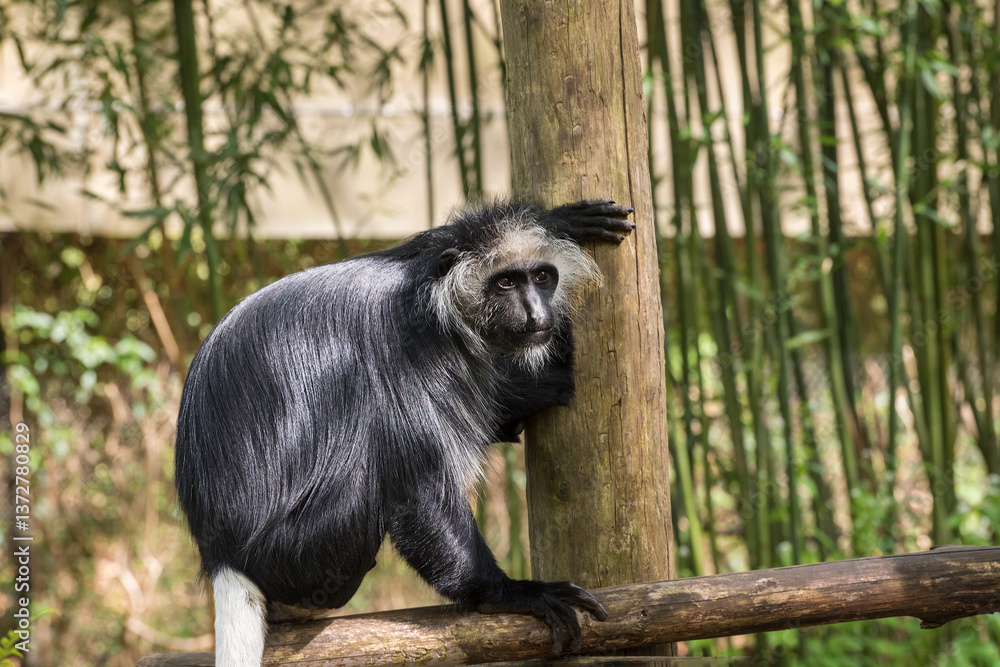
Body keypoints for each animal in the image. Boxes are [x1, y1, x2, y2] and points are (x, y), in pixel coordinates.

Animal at [174, 198, 635, 666]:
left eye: (542, 277)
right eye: (505, 283)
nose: (537, 315)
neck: (429, 296)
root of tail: (223, 555)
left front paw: (561, 220)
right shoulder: (406, 347)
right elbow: (419, 492)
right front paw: (510, 594)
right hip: (302, 552)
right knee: (371, 450)